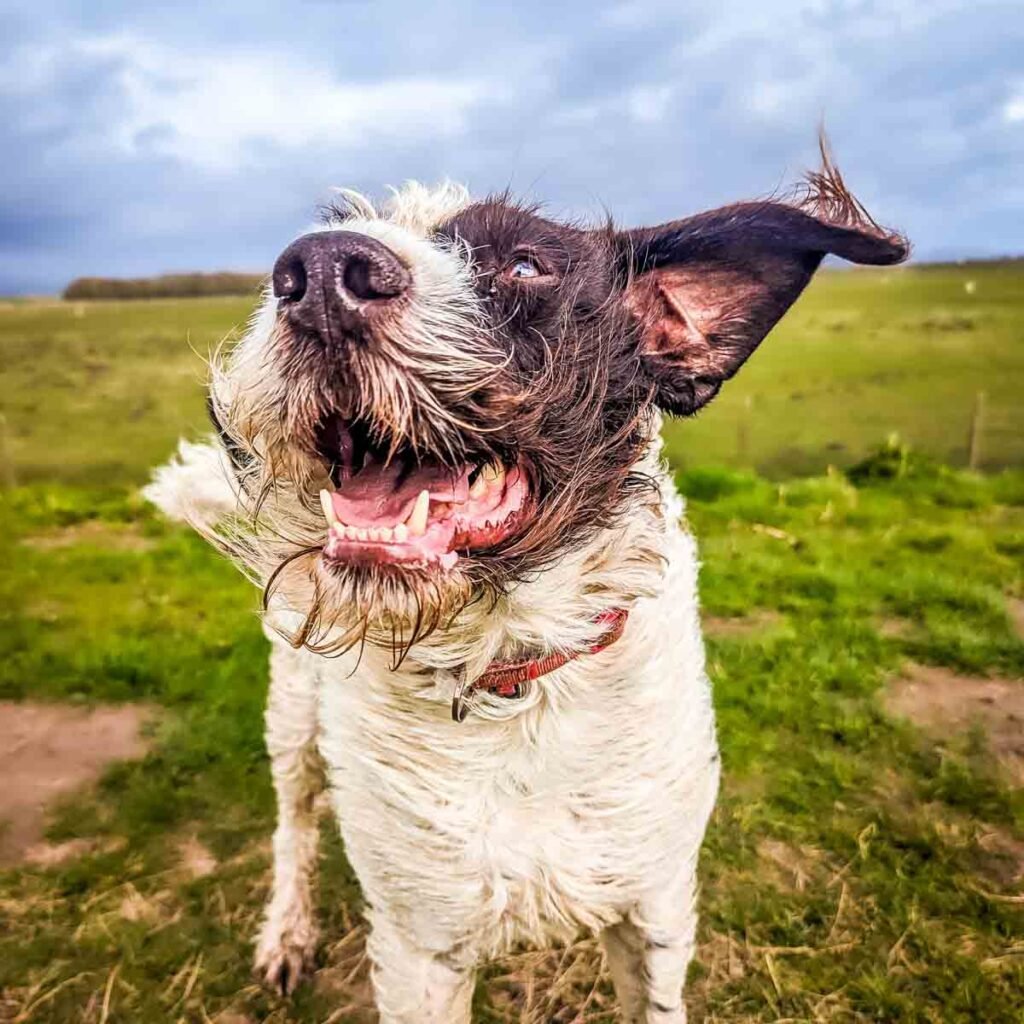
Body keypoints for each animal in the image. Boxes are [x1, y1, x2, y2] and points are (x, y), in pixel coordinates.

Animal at [144, 146, 905, 1024]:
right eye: (316, 252)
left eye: (525, 264)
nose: (321, 272)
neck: (510, 676)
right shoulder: (418, 950)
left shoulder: (656, 913)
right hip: (295, 717)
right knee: (294, 824)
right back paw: (287, 933)